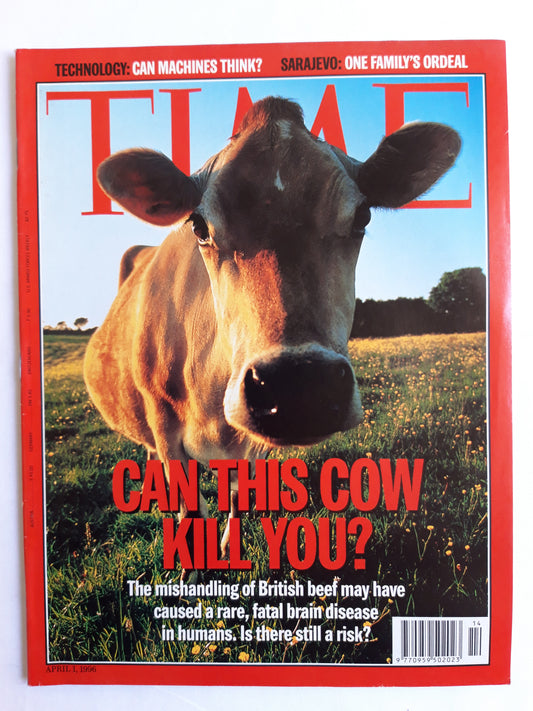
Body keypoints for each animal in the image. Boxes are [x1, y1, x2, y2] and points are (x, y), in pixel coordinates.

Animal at [84, 96, 460, 563]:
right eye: (199, 225)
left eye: (363, 215)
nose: (298, 383)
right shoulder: (164, 426)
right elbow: (189, 511)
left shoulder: (253, 449)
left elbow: (239, 499)